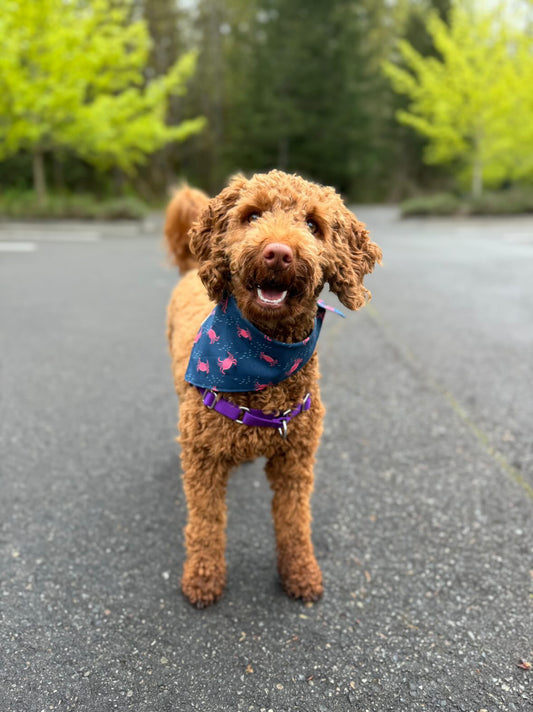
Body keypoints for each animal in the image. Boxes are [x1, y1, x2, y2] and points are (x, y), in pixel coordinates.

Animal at [164, 171, 380, 608]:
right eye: (252, 215)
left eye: (313, 225)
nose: (278, 253)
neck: (259, 361)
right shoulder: (203, 462)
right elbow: (206, 521)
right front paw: (203, 577)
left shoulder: (295, 459)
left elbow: (294, 519)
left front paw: (300, 573)